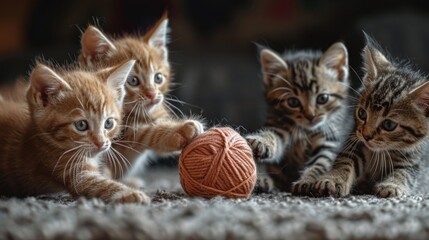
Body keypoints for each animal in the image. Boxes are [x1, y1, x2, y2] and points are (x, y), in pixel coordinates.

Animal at [0, 59, 150, 202]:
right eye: (81, 125)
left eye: (108, 123)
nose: (101, 143)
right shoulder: (69, 170)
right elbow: (97, 184)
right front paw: (130, 193)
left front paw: (128, 181)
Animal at [246, 41, 350, 195]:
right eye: (293, 102)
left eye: (323, 98)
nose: (310, 116)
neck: (305, 131)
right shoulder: (280, 125)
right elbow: (272, 135)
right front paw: (262, 141)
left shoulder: (329, 139)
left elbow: (321, 163)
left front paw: (307, 181)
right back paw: (262, 180)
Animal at [310, 35, 428, 197]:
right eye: (362, 114)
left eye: (389, 125)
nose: (366, 136)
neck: (383, 151)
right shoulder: (355, 141)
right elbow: (345, 160)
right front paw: (332, 179)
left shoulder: (414, 160)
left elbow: (404, 173)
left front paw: (392, 185)